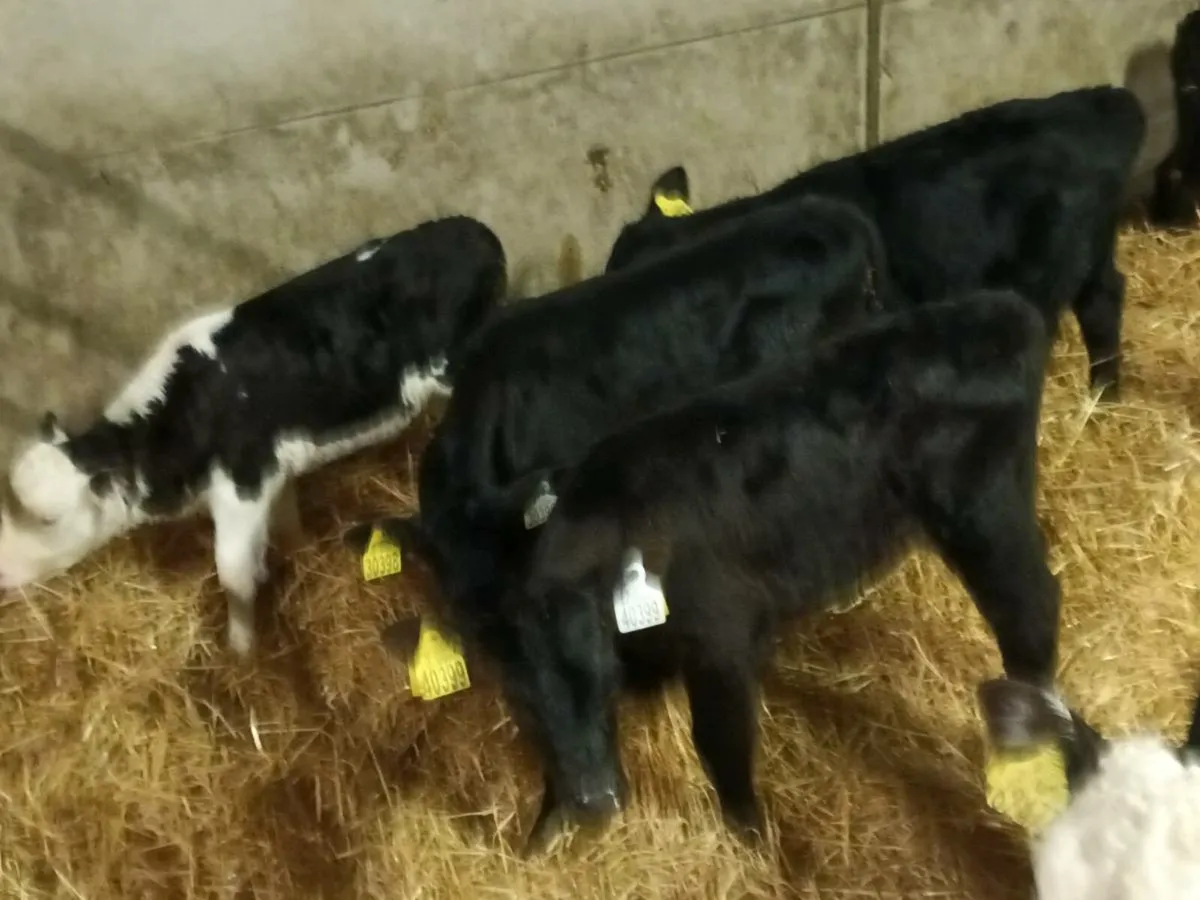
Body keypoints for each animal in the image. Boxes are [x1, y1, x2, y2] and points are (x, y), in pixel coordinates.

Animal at [0, 215, 506, 657]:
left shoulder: (243, 485)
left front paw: (241, 650)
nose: (3, 569)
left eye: (48, 519)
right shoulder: (273, 472)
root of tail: (474, 230)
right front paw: (299, 548)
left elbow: (234, 574)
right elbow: (285, 523)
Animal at [360, 289, 1060, 848]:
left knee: (1030, 608)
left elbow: (720, 744)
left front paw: (754, 842)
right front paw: (546, 826)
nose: (596, 803)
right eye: (520, 700)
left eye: (601, 677)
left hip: (983, 514)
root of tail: (1001, 309)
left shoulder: (722, 639)